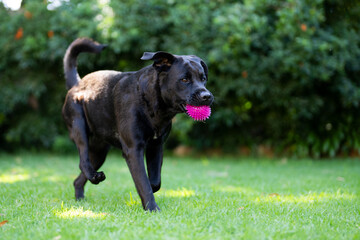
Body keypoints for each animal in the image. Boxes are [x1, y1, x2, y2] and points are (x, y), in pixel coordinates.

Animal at [62, 38, 214, 212]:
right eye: (184, 79)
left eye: (203, 78)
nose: (207, 96)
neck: (154, 106)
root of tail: (77, 84)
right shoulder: (133, 149)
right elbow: (144, 182)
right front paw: (152, 208)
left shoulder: (156, 146)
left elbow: (153, 181)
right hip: (79, 126)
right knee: (83, 160)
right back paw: (94, 177)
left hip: (100, 151)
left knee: (79, 177)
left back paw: (81, 198)